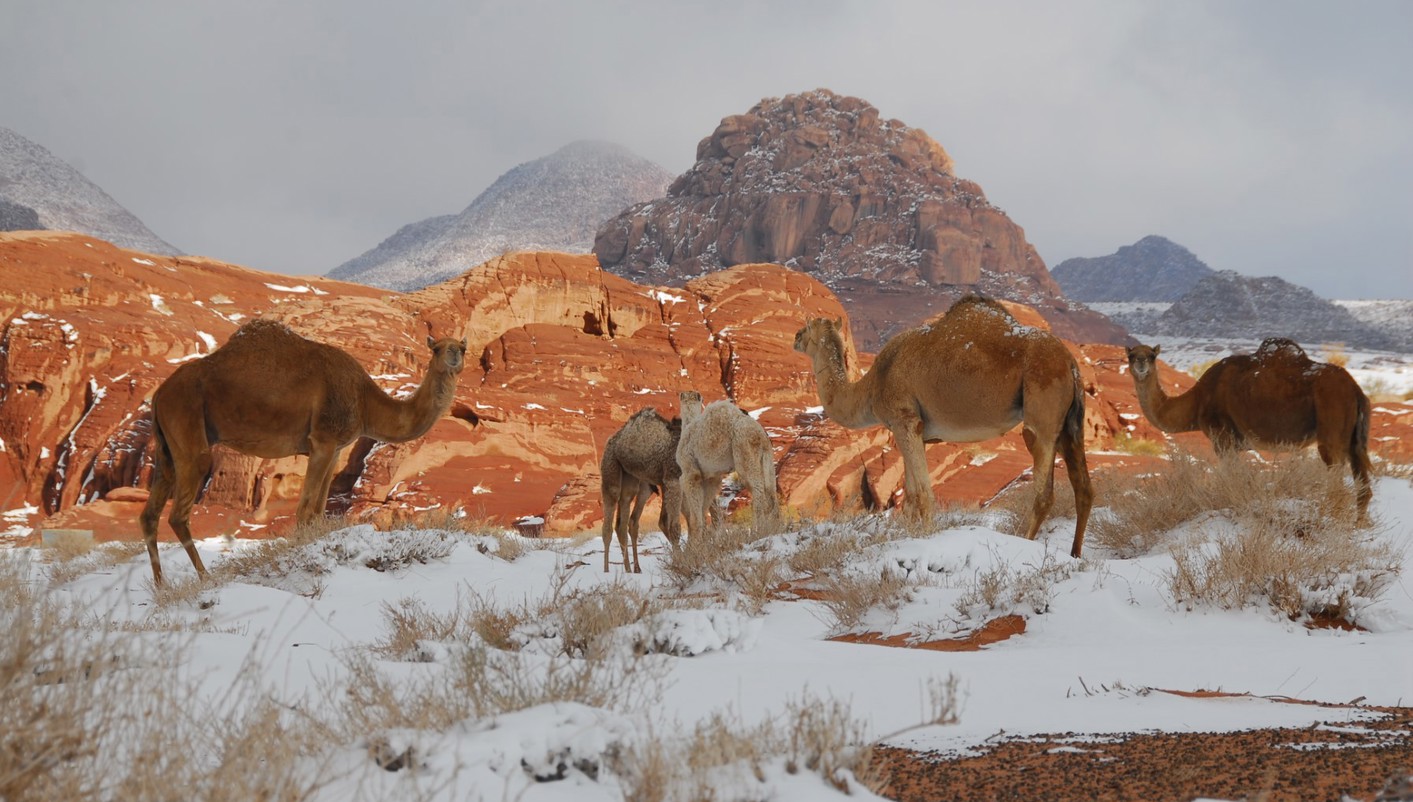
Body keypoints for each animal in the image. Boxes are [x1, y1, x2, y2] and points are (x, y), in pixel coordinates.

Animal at [139, 317, 469, 581]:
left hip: (166, 448)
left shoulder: (335, 448)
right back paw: (205, 578)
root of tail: (159, 394)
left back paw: (161, 586)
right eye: (436, 348)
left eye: (461, 347)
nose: (454, 354)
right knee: (178, 514)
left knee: (149, 515)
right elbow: (305, 509)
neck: (365, 401)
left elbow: (319, 510)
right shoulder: (322, 441)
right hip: (189, 431)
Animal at [596, 409, 683, 573]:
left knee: (624, 522)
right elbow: (674, 526)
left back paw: (631, 570)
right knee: (608, 526)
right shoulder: (673, 479)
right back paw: (607, 571)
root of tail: (613, 439)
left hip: (632, 480)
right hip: (611, 469)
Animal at [675, 389, 785, 539]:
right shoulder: (711, 477)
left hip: (745, 451)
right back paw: (775, 528)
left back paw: (757, 531)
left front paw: (693, 543)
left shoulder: (690, 473)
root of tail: (760, 434)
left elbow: (695, 516)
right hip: (766, 458)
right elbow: (704, 509)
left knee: (758, 491)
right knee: (770, 490)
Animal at [796, 296, 1090, 556]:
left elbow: (923, 495)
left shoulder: (905, 420)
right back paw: (1075, 553)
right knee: (1084, 488)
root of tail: (1071, 363)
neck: (870, 387)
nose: (795, 337)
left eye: (807, 327)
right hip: (1070, 423)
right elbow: (910, 498)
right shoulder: (917, 433)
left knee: (1043, 488)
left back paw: (1025, 542)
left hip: (1042, 407)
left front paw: (924, 539)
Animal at [1124, 337, 1367, 519]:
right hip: (1351, 437)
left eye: (1152, 355)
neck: (1197, 400)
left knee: (1337, 477)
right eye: (1131, 355)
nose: (1141, 362)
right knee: (1361, 480)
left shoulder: (1222, 437)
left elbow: (1231, 478)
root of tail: (1355, 388)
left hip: (1331, 423)